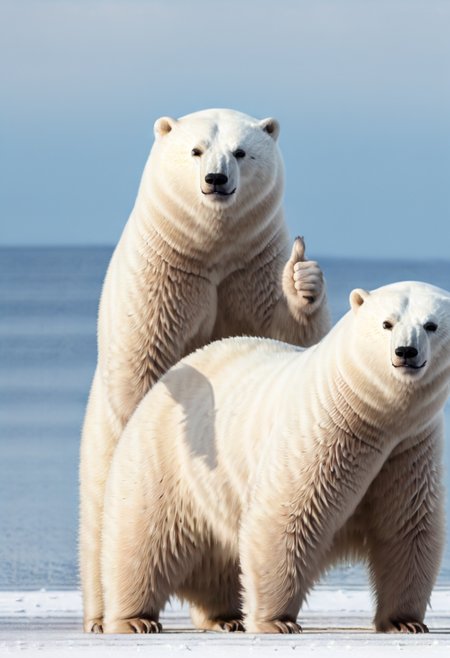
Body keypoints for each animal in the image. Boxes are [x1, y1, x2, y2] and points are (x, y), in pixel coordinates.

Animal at [79, 108, 331, 632]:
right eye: (195, 150)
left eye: (241, 151)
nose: (216, 179)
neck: (211, 252)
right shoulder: (160, 278)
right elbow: (142, 364)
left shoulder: (252, 270)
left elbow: (288, 336)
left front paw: (304, 280)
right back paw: (105, 616)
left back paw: (224, 614)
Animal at [99, 281, 448, 634]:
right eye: (387, 323)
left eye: (431, 325)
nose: (406, 352)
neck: (366, 411)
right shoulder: (321, 434)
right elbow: (287, 517)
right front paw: (276, 622)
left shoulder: (409, 450)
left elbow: (408, 526)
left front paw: (405, 622)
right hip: (166, 458)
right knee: (144, 539)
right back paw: (135, 619)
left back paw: (224, 617)